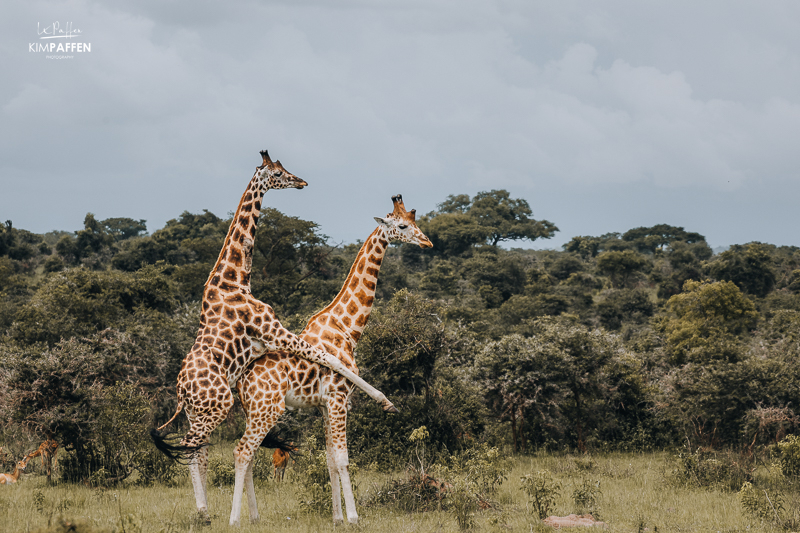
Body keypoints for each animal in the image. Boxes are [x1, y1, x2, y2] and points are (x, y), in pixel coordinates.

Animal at [148, 150, 396, 520]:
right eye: (278, 173)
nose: (301, 181)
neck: (235, 280)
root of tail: (180, 392)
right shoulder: (273, 330)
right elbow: (324, 355)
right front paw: (383, 399)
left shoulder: (273, 335)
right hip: (217, 406)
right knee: (196, 448)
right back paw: (207, 512)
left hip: (199, 412)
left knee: (201, 452)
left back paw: (210, 511)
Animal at [231, 194, 432, 524]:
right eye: (402, 226)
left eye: (416, 221)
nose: (427, 242)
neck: (347, 327)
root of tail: (241, 383)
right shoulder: (339, 399)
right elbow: (343, 459)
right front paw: (353, 517)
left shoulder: (325, 405)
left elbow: (328, 460)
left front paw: (337, 517)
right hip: (268, 409)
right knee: (242, 452)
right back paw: (235, 519)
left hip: (254, 411)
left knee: (247, 455)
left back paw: (254, 517)